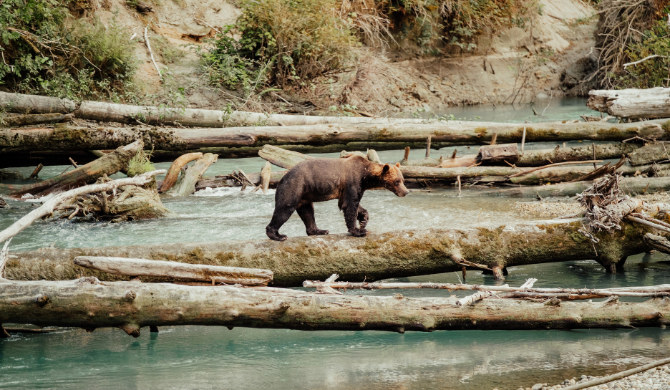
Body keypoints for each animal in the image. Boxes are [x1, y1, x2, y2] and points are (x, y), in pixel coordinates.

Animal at [266, 155, 410, 241]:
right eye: (397, 181)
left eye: (403, 180)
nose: (406, 192)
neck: (366, 176)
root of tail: (282, 177)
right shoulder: (352, 181)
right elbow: (350, 205)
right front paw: (358, 231)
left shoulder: (352, 188)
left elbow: (350, 204)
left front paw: (363, 220)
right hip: (294, 187)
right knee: (285, 209)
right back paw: (278, 235)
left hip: (305, 194)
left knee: (308, 212)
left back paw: (319, 230)